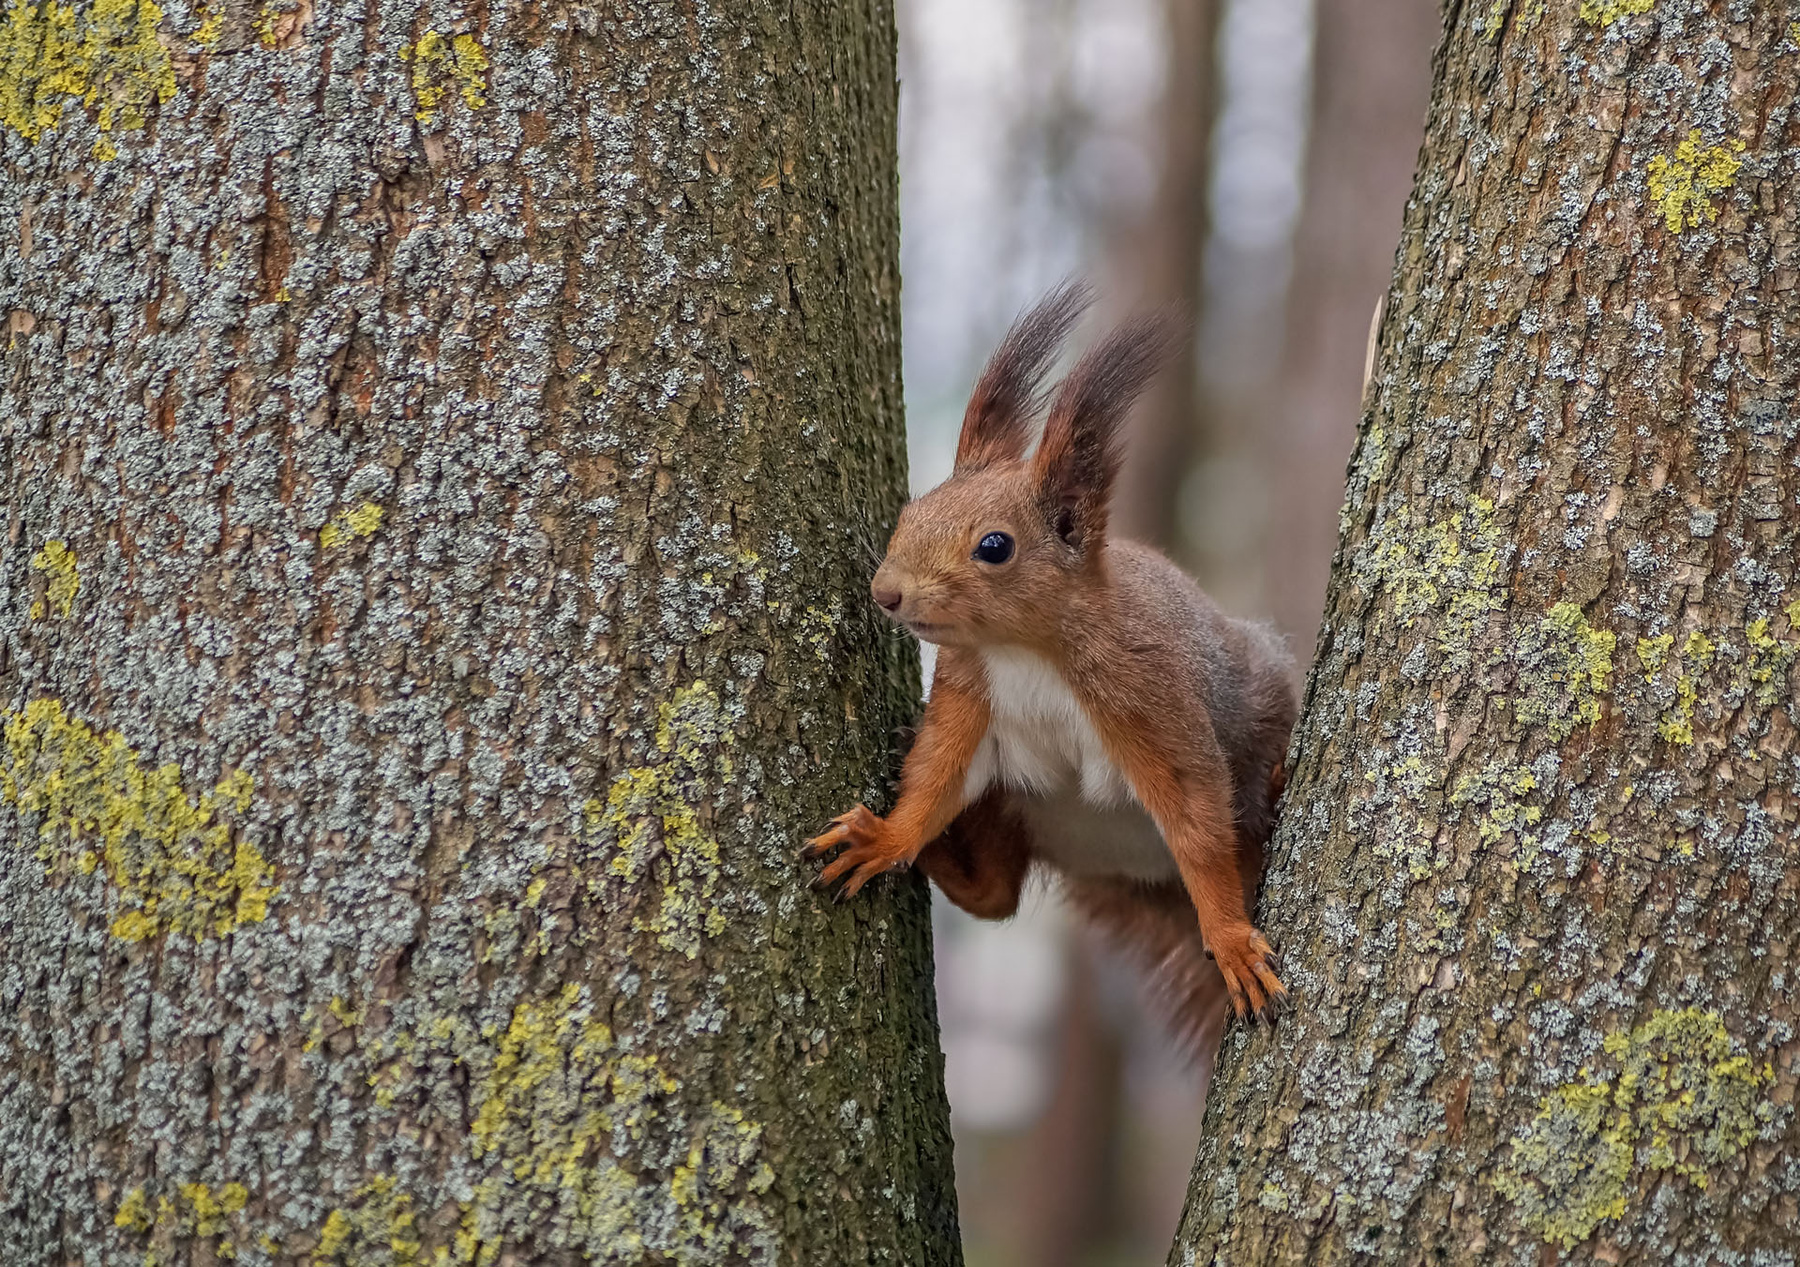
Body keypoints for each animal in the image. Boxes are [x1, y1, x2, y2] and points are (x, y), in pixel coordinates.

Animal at [804, 282, 1298, 1041]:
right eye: (911, 512)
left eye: (995, 546)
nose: (886, 593)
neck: (1024, 650)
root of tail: (1133, 875)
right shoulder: (967, 690)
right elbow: (936, 777)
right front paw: (887, 837)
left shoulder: (1146, 692)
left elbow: (1197, 819)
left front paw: (1232, 940)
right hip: (1023, 815)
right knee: (996, 895)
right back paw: (944, 854)